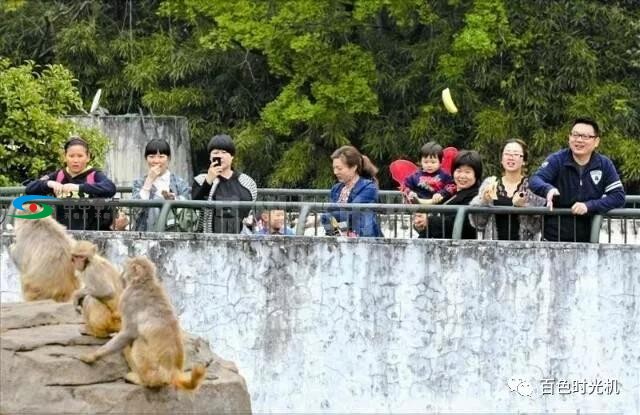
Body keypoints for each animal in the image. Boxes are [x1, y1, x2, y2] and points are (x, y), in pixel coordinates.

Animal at [79, 255, 205, 392]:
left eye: (125, 269)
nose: (121, 275)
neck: (144, 282)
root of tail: (174, 373)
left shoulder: (128, 298)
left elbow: (128, 332)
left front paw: (93, 356)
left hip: (155, 372)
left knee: (138, 340)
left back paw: (142, 380)